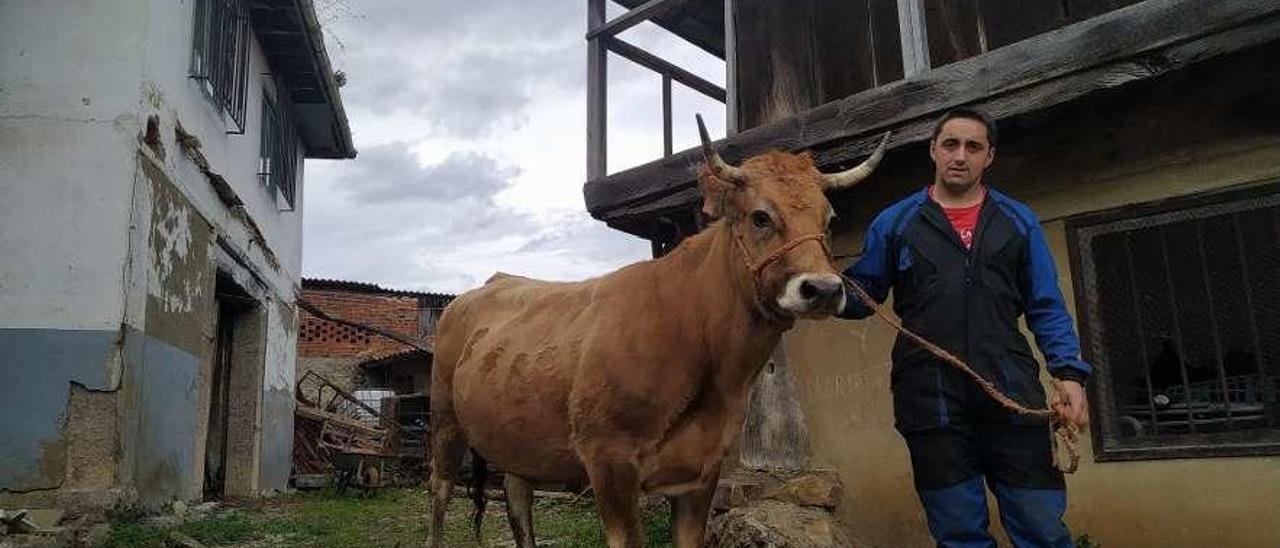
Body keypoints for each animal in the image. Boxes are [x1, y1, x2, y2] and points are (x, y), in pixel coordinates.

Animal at [430, 116, 890, 548]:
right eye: (760, 216)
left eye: (829, 218)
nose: (825, 289)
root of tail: (490, 284)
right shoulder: (608, 461)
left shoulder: (704, 469)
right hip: (445, 419)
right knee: (440, 493)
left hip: (518, 438)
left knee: (517, 496)